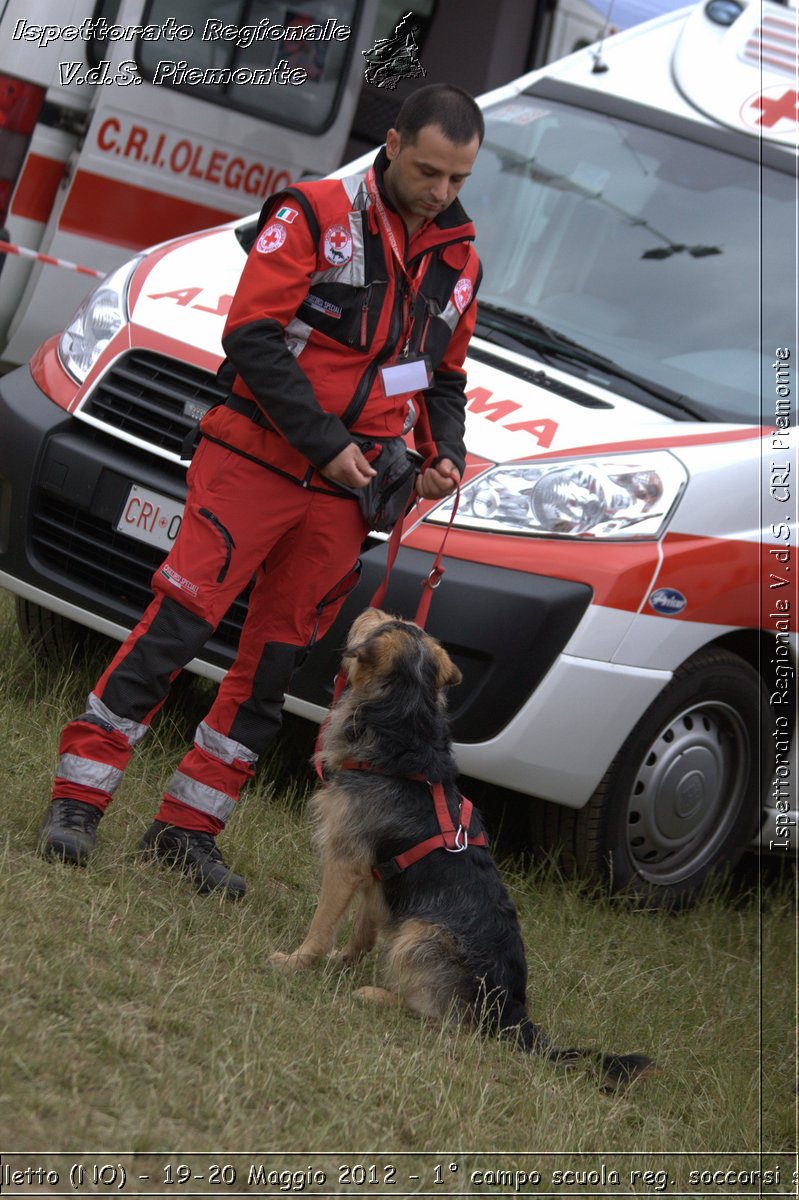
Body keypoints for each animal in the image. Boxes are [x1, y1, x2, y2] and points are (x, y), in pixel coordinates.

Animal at [271, 609, 657, 1089]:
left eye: (387, 623)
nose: (371, 609)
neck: (402, 737)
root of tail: (513, 1015)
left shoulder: (344, 862)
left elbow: (322, 926)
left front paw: (296, 962)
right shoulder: (378, 879)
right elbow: (362, 931)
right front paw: (342, 963)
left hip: (419, 934)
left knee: (443, 1021)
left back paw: (376, 994)